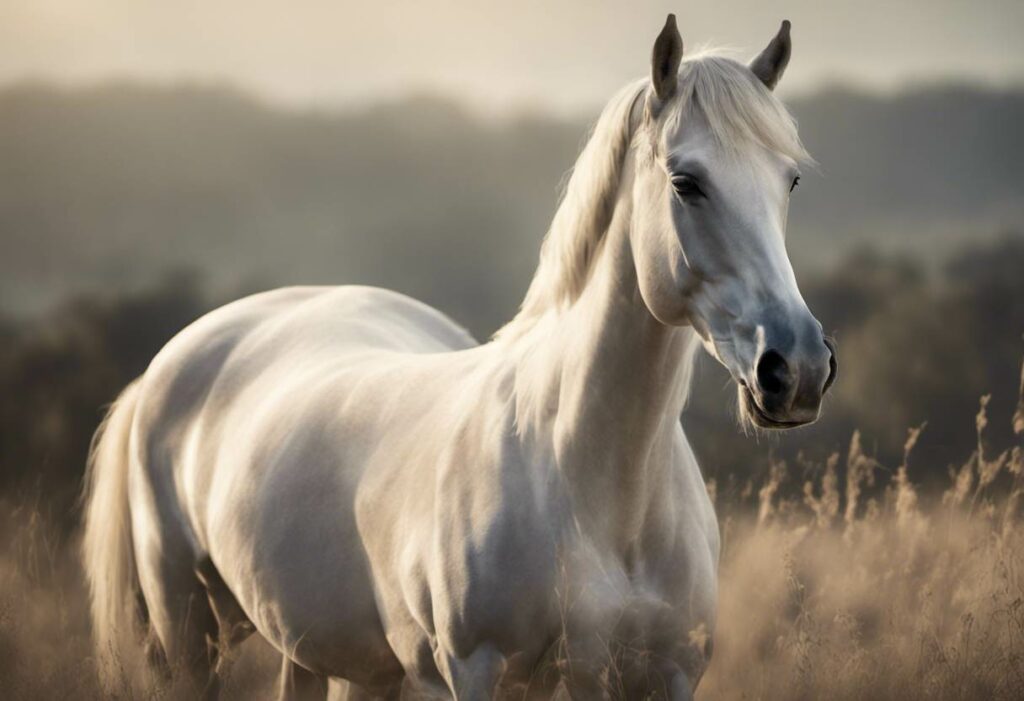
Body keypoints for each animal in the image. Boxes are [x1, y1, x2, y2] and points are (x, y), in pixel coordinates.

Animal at [79, 16, 831, 699]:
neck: (585, 478)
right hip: (188, 634)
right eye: (686, 182)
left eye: (790, 181)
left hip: (331, 656)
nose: (795, 368)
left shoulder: (665, 675)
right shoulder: (475, 670)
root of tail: (173, 362)